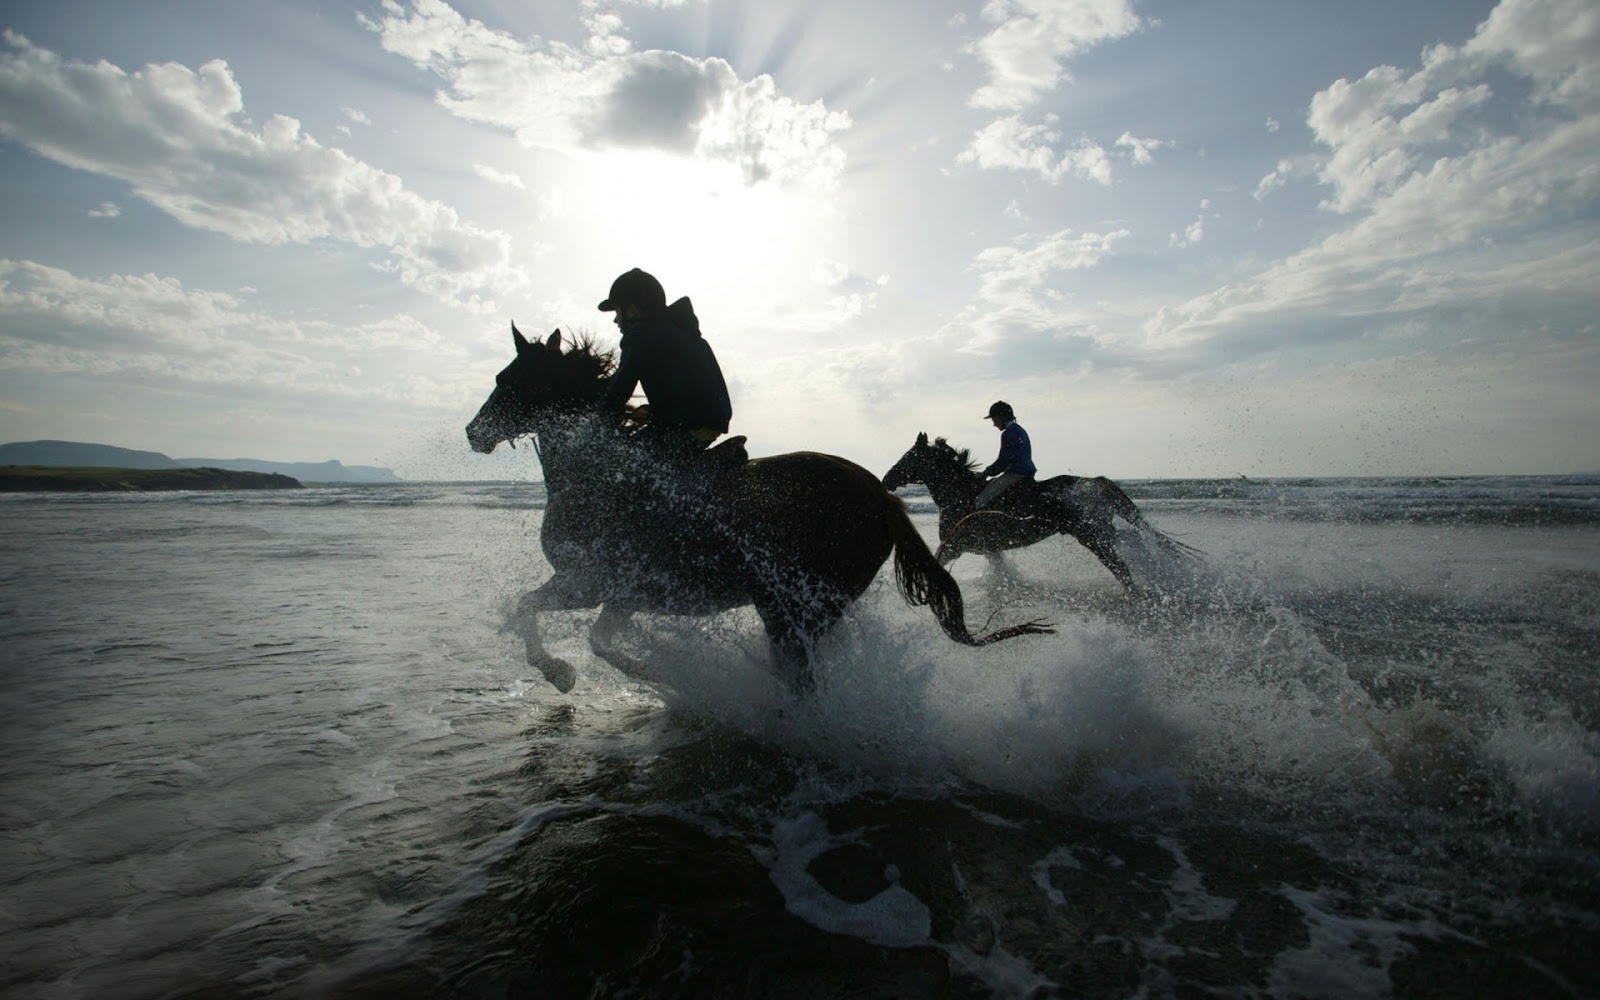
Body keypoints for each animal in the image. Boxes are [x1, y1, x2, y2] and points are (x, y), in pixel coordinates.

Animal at [466, 325, 1053, 695]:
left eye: (508, 379)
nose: (474, 432)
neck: (598, 475)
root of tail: (882, 496)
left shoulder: (586, 582)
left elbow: (526, 609)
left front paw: (560, 672)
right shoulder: (624, 595)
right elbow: (598, 639)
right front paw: (656, 673)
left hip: (793, 608)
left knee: (802, 678)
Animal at [882, 433, 1196, 592]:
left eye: (910, 456)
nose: (886, 479)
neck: (960, 495)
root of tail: (1093, 482)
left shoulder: (956, 545)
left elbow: (936, 562)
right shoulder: (988, 548)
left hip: (1091, 536)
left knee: (1121, 567)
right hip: (1100, 531)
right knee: (1128, 547)